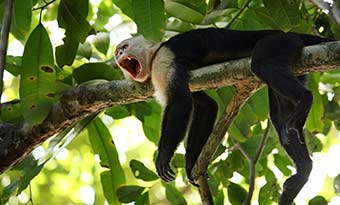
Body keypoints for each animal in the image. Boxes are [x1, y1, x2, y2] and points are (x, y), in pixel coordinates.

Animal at [115, 28, 334, 205]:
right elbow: (207, 107)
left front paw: (163, 156)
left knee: (262, 64)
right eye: (118, 52)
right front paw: (191, 165)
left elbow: (180, 102)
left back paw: (305, 99)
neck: (153, 55)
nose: (118, 56)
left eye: (124, 47)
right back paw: (303, 171)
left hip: (281, 42)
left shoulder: (164, 60)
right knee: (281, 121)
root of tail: (289, 33)